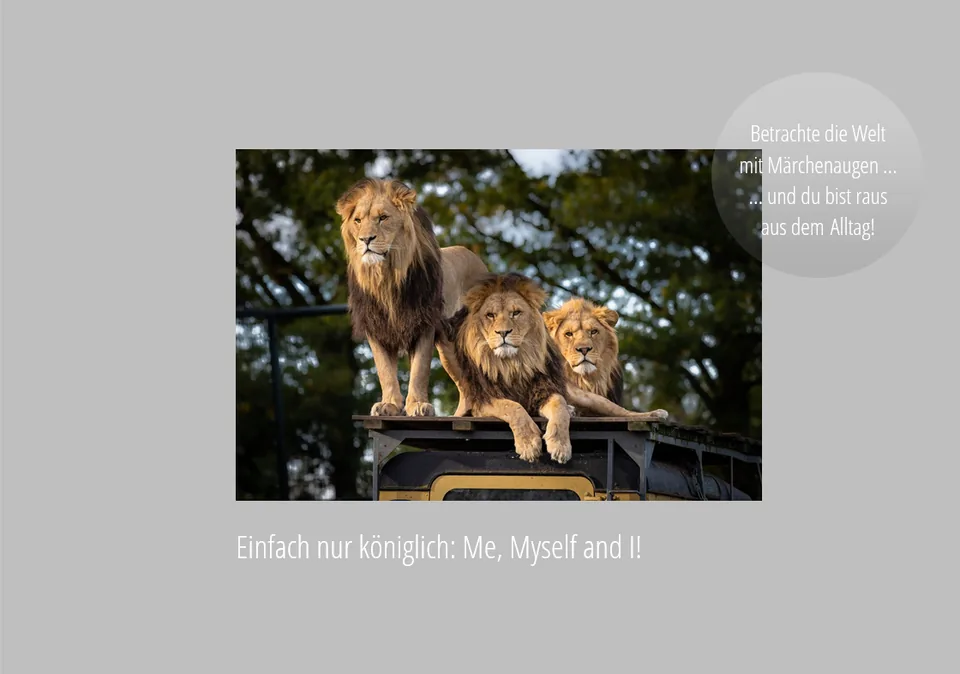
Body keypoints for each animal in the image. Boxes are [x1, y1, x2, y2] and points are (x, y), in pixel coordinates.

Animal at [337, 178, 488, 417]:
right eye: (358, 221)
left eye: (383, 218)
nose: (365, 239)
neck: (386, 278)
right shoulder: (376, 327)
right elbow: (385, 371)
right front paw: (389, 405)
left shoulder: (423, 324)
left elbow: (419, 369)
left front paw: (417, 405)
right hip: (448, 349)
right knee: (465, 386)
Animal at [443, 273, 669, 465]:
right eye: (490, 315)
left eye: (516, 313)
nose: (503, 332)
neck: (513, 363)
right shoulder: (481, 401)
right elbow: (513, 407)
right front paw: (528, 444)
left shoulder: (545, 391)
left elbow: (559, 406)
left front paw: (560, 445)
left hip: (585, 396)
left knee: (618, 411)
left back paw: (653, 414)